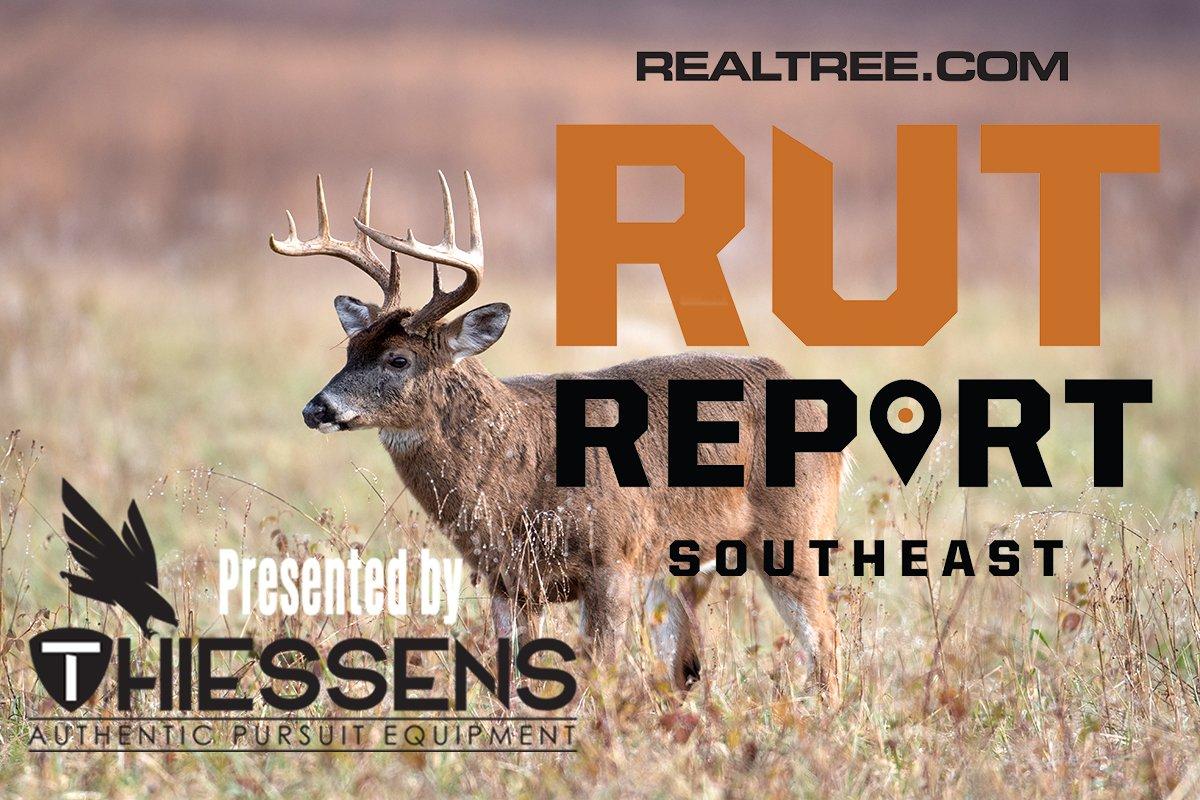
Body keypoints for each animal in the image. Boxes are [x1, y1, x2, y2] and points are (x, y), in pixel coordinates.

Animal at [268, 170, 845, 703]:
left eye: (398, 358)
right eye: (349, 351)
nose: (316, 408)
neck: (520, 475)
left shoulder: (614, 556)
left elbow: (596, 671)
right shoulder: (505, 578)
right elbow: (518, 673)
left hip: (794, 529)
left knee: (824, 639)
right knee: (688, 662)